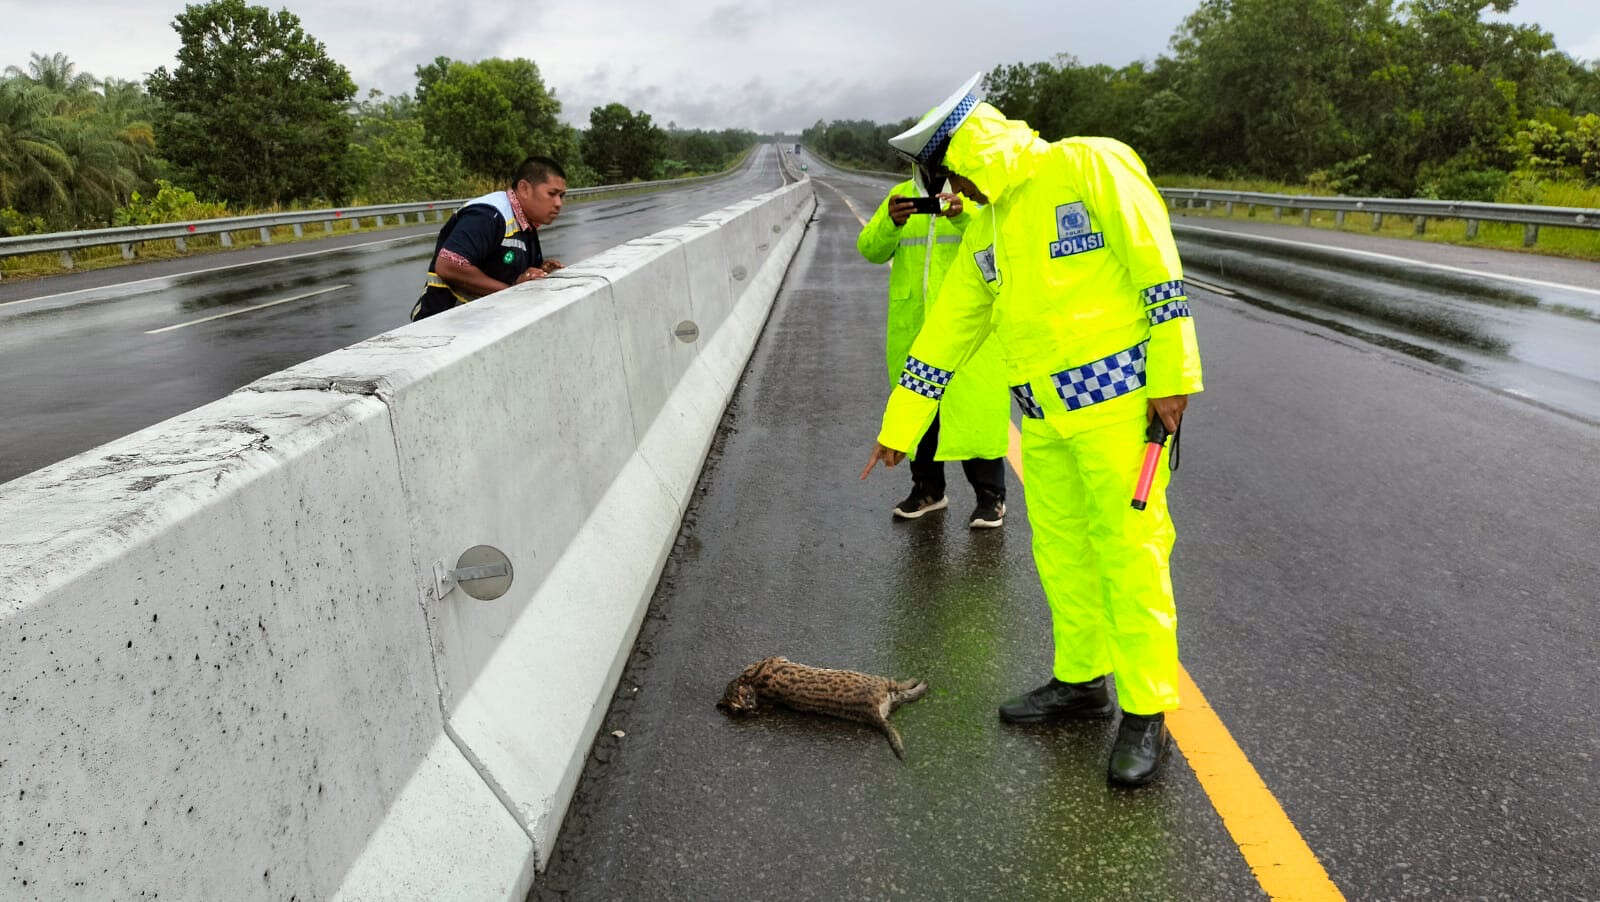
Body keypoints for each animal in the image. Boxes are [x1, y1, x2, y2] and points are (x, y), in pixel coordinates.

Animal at [720, 655, 934, 761]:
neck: (754, 684)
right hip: (880, 682)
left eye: (746, 699)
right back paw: (920, 683)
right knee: (902, 689)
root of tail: (872, 712)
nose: (751, 706)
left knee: (901, 696)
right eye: (742, 707)